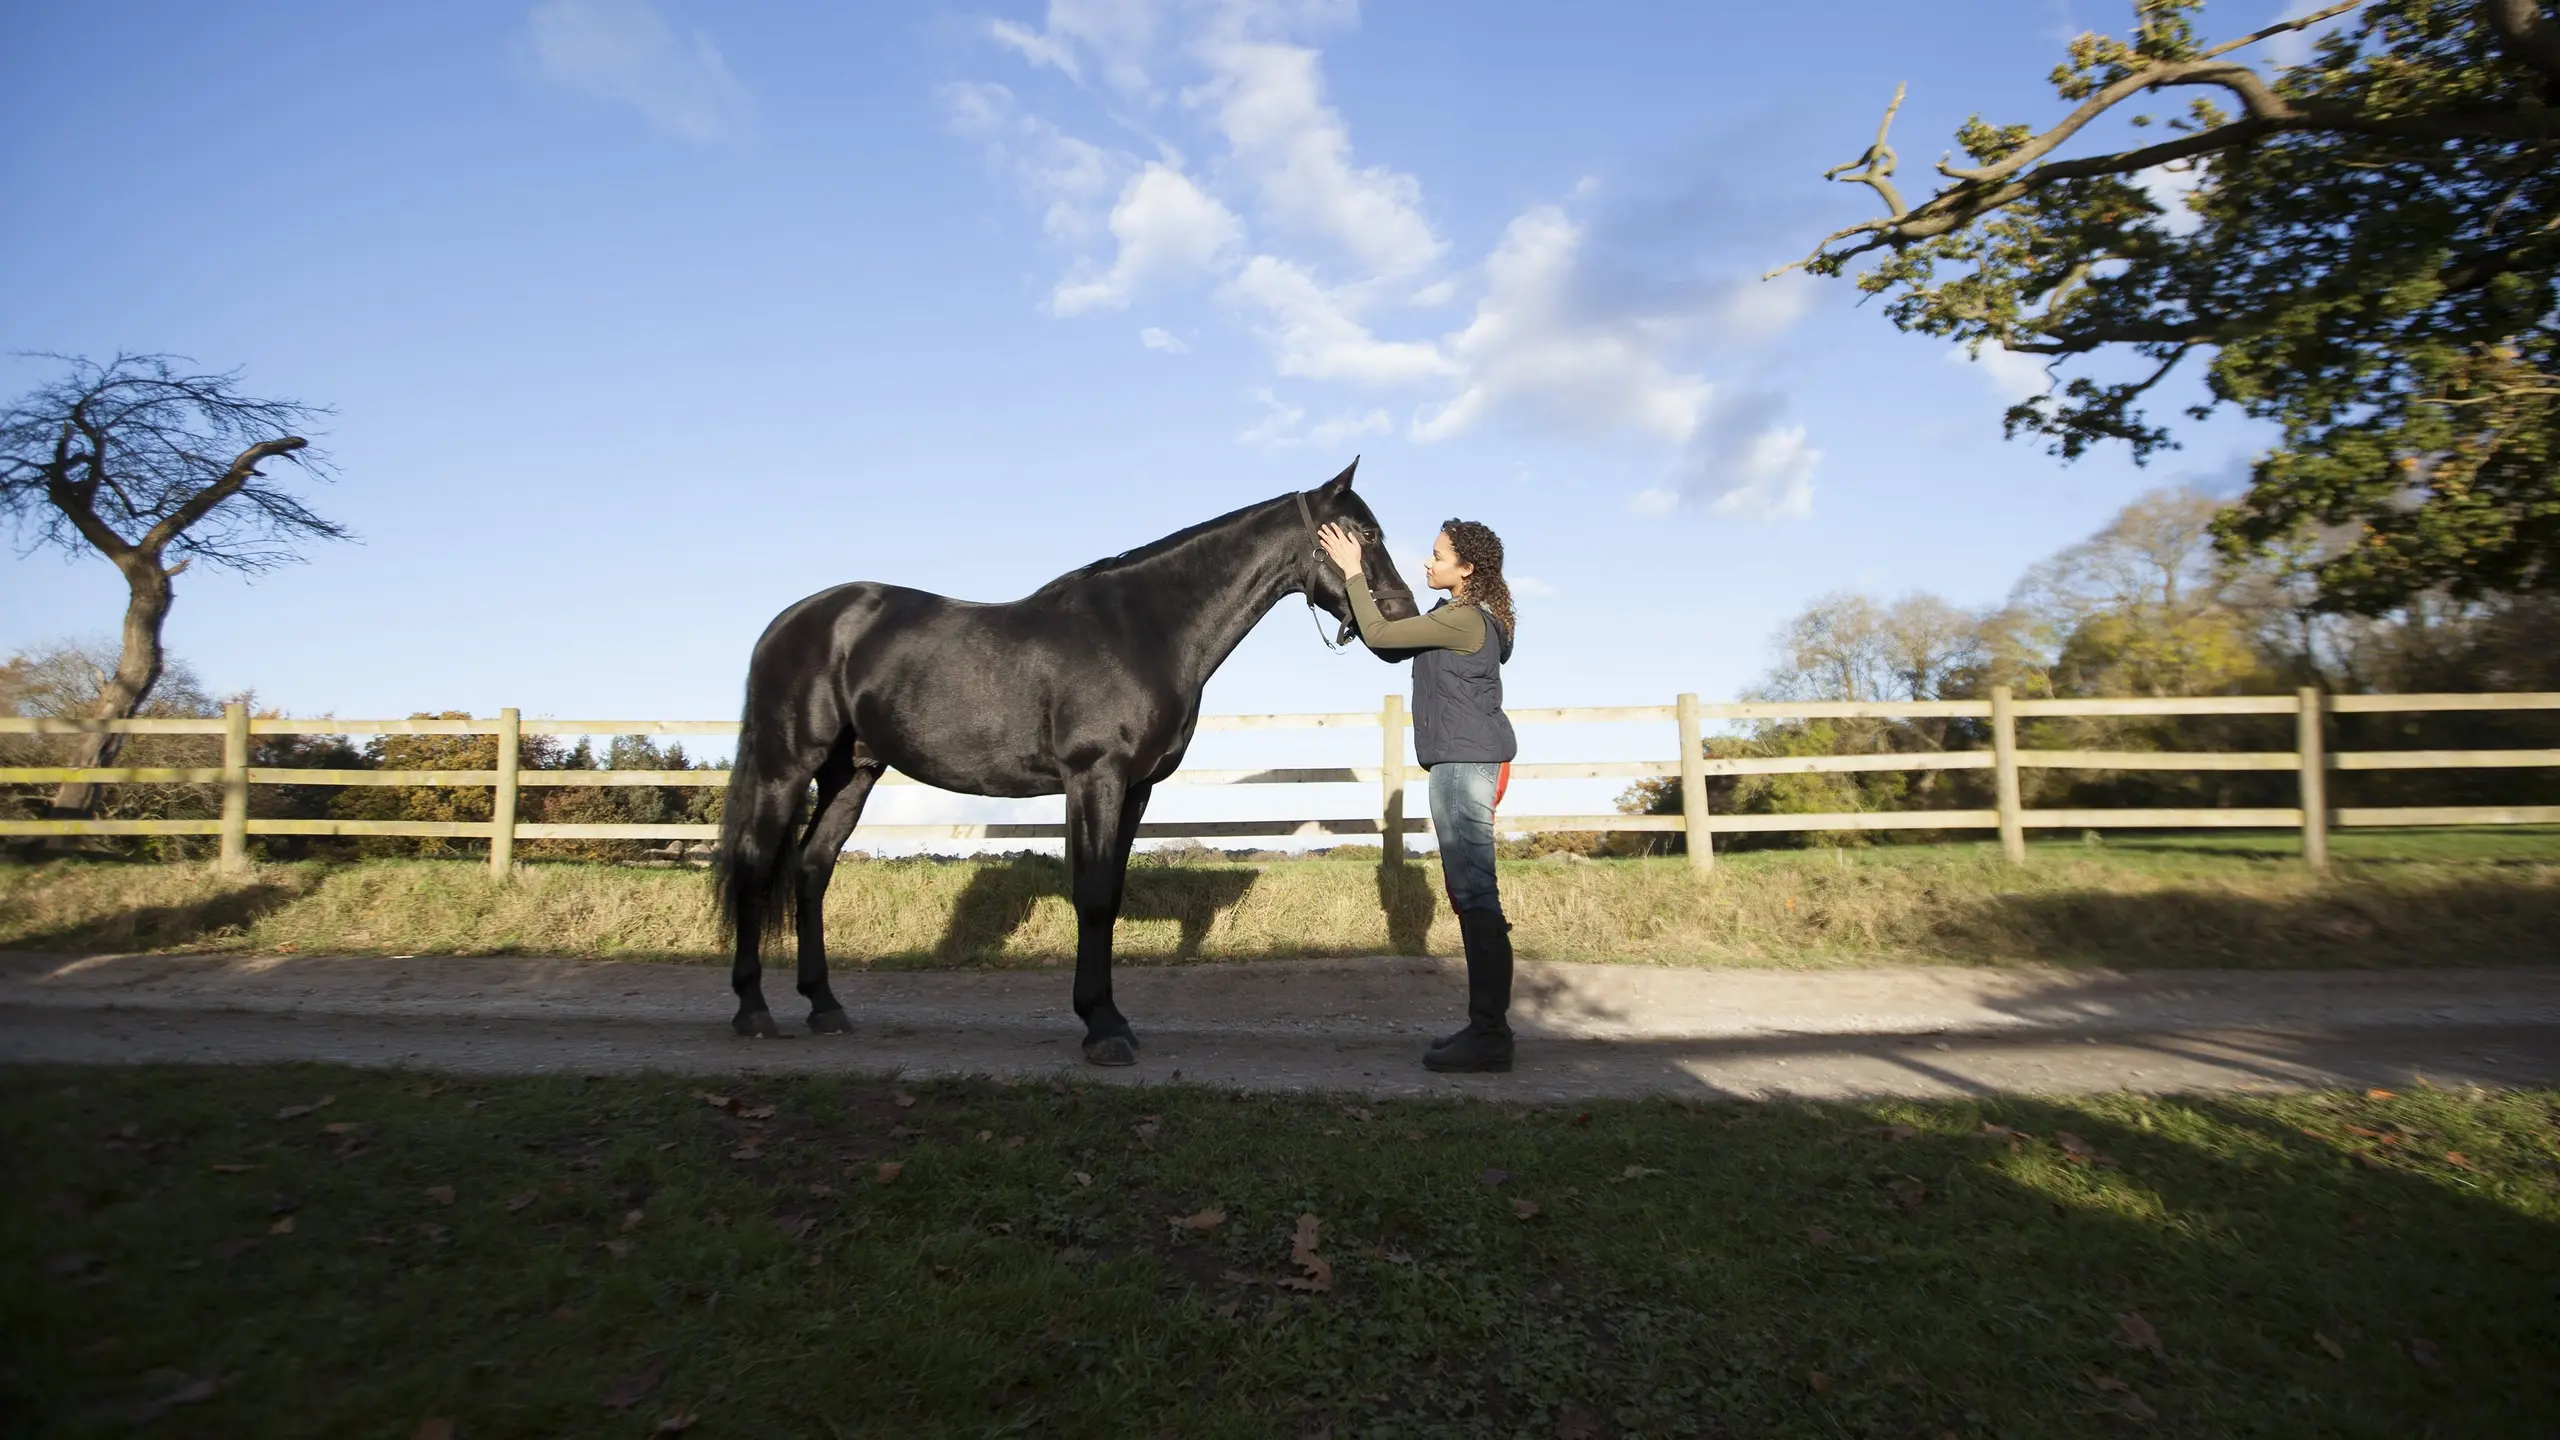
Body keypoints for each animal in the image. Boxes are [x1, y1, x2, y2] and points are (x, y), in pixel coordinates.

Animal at [716, 453, 1423, 1060]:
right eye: (1363, 533)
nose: (1399, 618)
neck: (1144, 630)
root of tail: (791, 622)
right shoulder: (1094, 777)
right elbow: (1092, 895)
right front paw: (1102, 1029)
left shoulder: (1135, 789)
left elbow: (1109, 890)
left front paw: (1111, 1019)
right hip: (786, 766)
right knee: (754, 867)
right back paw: (753, 1012)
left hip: (852, 773)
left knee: (811, 870)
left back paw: (825, 1008)